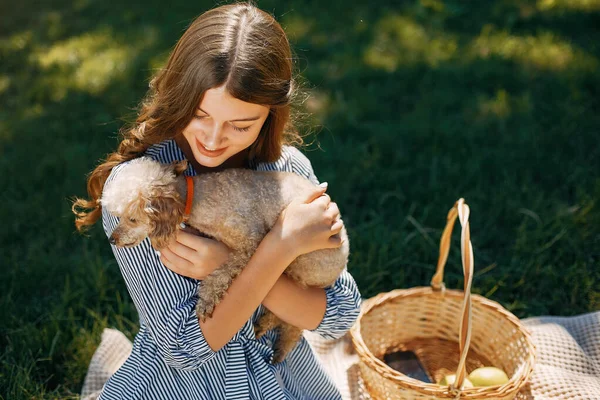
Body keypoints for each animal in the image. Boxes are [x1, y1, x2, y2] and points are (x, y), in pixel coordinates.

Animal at [101, 157, 350, 362]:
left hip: (301, 263)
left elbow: (219, 275)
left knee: (294, 324)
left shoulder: (250, 241)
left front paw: (206, 301)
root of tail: (343, 261)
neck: (196, 198)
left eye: (132, 219)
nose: (112, 239)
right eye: (119, 216)